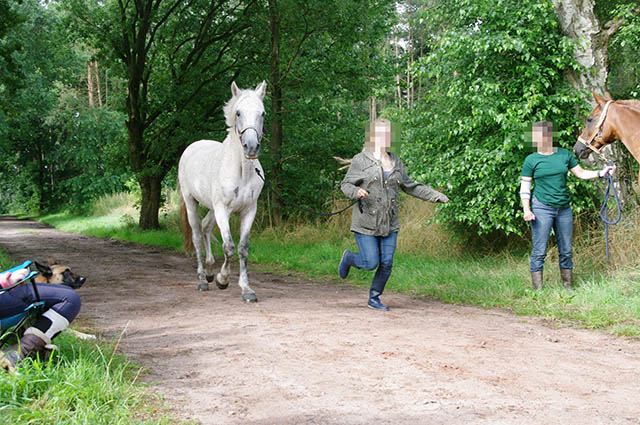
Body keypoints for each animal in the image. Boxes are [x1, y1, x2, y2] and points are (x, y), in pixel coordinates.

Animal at [178, 81, 264, 302]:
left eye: (262, 113)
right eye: (239, 113)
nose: (251, 147)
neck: (242, 171)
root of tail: (192, 147)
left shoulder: (249, 211)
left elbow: (242, 249)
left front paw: (247, 290)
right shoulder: (222, 210)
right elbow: (229, 247)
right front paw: (222, 279)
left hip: (211, 208)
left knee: (206, 227)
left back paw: (209, 271)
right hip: (192, 203)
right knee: (197, 236)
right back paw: (202, 279)